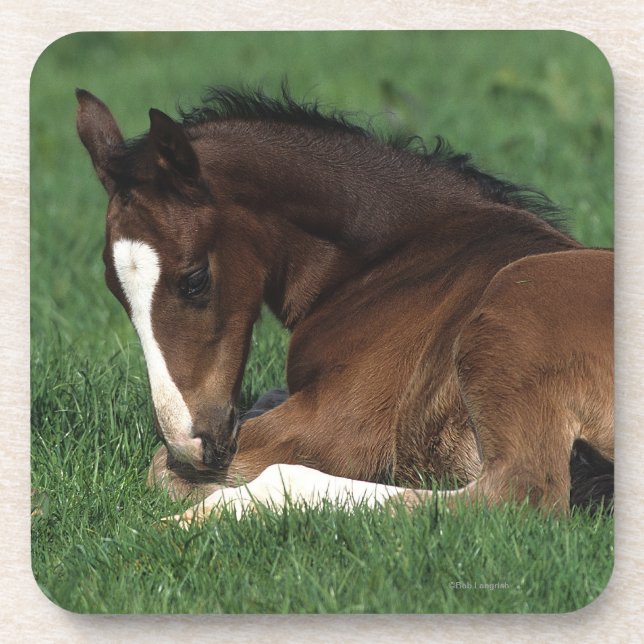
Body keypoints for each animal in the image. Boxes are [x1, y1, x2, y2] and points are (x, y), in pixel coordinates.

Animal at [75, 86, 614, 523]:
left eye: (194, 280)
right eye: (113, 289)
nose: (191, 445)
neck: (395, 257)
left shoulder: (343, 425)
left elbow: (160, 470)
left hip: (513, 311)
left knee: (518, 494)